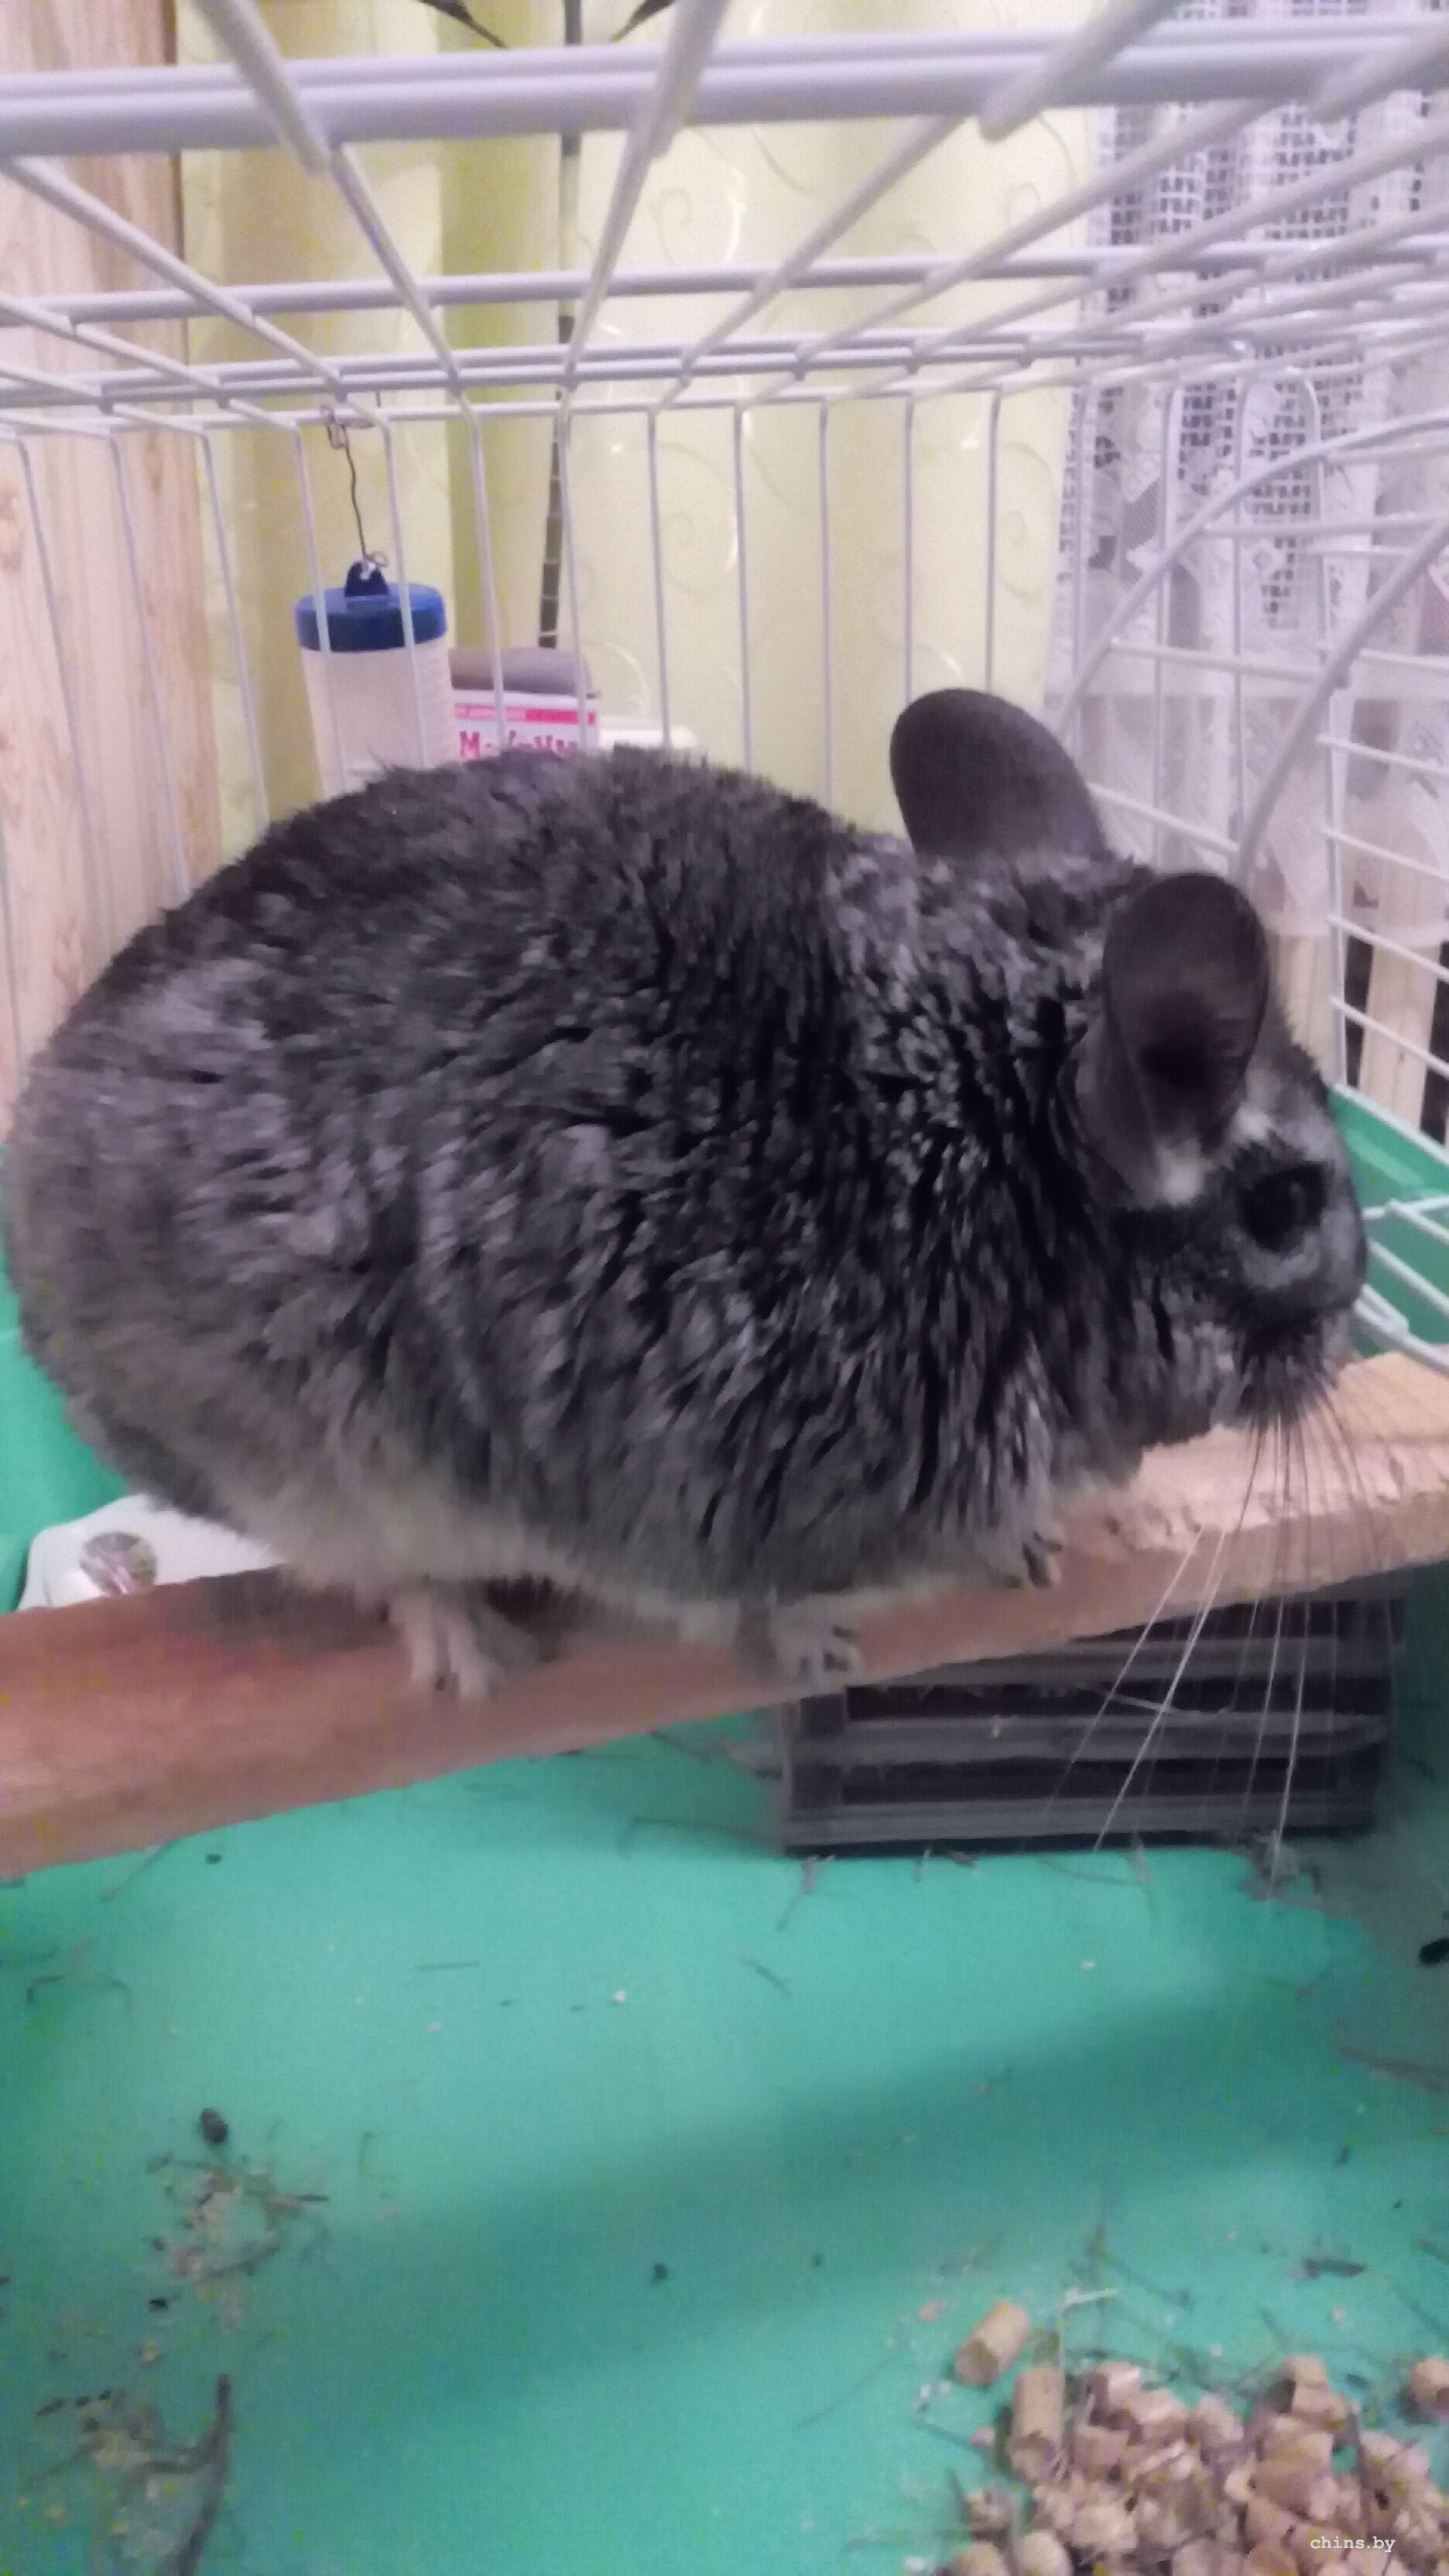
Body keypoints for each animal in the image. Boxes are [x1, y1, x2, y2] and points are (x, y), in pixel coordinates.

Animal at [3, 704, 1366, 1698]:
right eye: (1287, 1210)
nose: (1350, 1325)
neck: (994, 1178)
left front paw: (1036, 1545)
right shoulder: (708, 1494)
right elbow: (748, 1601)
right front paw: (818, 1649)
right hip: (300, 1460)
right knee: (376, 1565)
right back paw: (469, 1651)